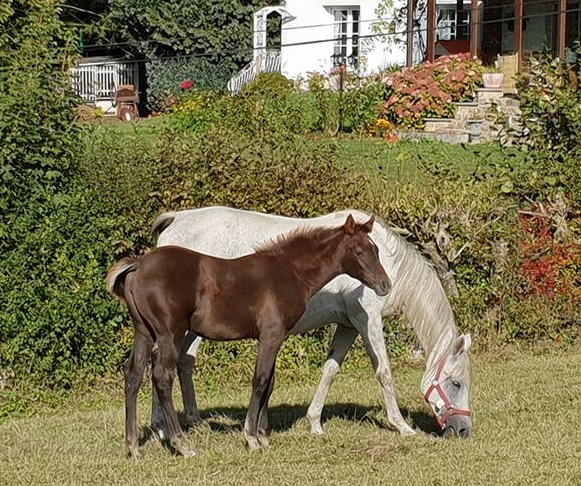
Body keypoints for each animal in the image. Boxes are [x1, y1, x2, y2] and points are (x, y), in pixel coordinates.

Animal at [107, 215, 392, 458]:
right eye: (358, 251)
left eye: (376, 250)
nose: (385, 285)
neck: (289, 271)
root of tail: (139, 264)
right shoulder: (271, 334)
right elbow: (260, 380)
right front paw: (252, 437)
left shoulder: (275, 336)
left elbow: (270, 382)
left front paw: (264, 435)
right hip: (170, 334)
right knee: (162, 377)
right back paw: (182, 444)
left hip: (144, 332)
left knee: (133, 375)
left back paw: (133, 446)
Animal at [150, 205, 472, 436]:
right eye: (456, 383)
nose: (463, 430)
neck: (389, 264)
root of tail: (175, 220)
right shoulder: (367, 319)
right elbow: (384, 372)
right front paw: (402, 426)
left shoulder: (348, 325)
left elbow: (330, 370)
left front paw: (315, 423)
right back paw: (162, 428)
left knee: (182, 363)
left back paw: (191, 422)